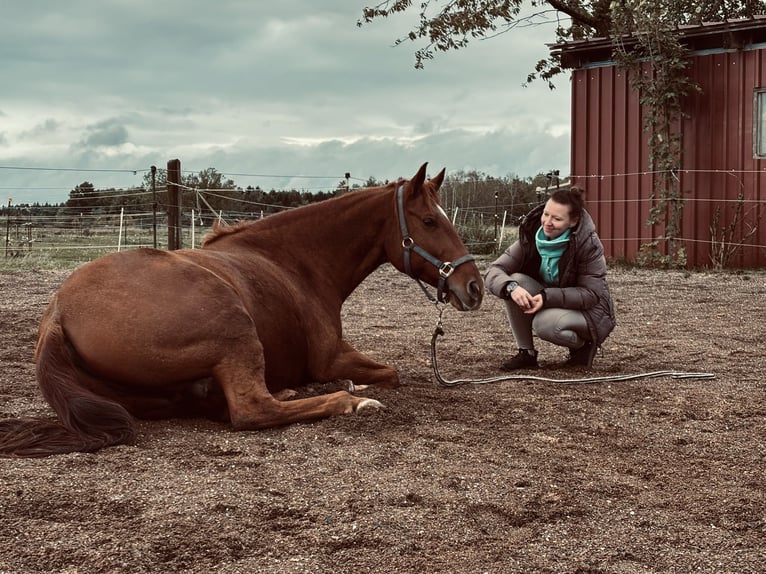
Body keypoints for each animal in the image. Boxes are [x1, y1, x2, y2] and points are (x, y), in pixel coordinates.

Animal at [0, 163, 483, 457]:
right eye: (429, 221)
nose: (474, 286)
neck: (294, 261)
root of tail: (57, 314)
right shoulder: (331, 356)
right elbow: (391, 373)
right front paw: (355, 388)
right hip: (234, 329)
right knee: (252, 409)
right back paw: (346, 401)